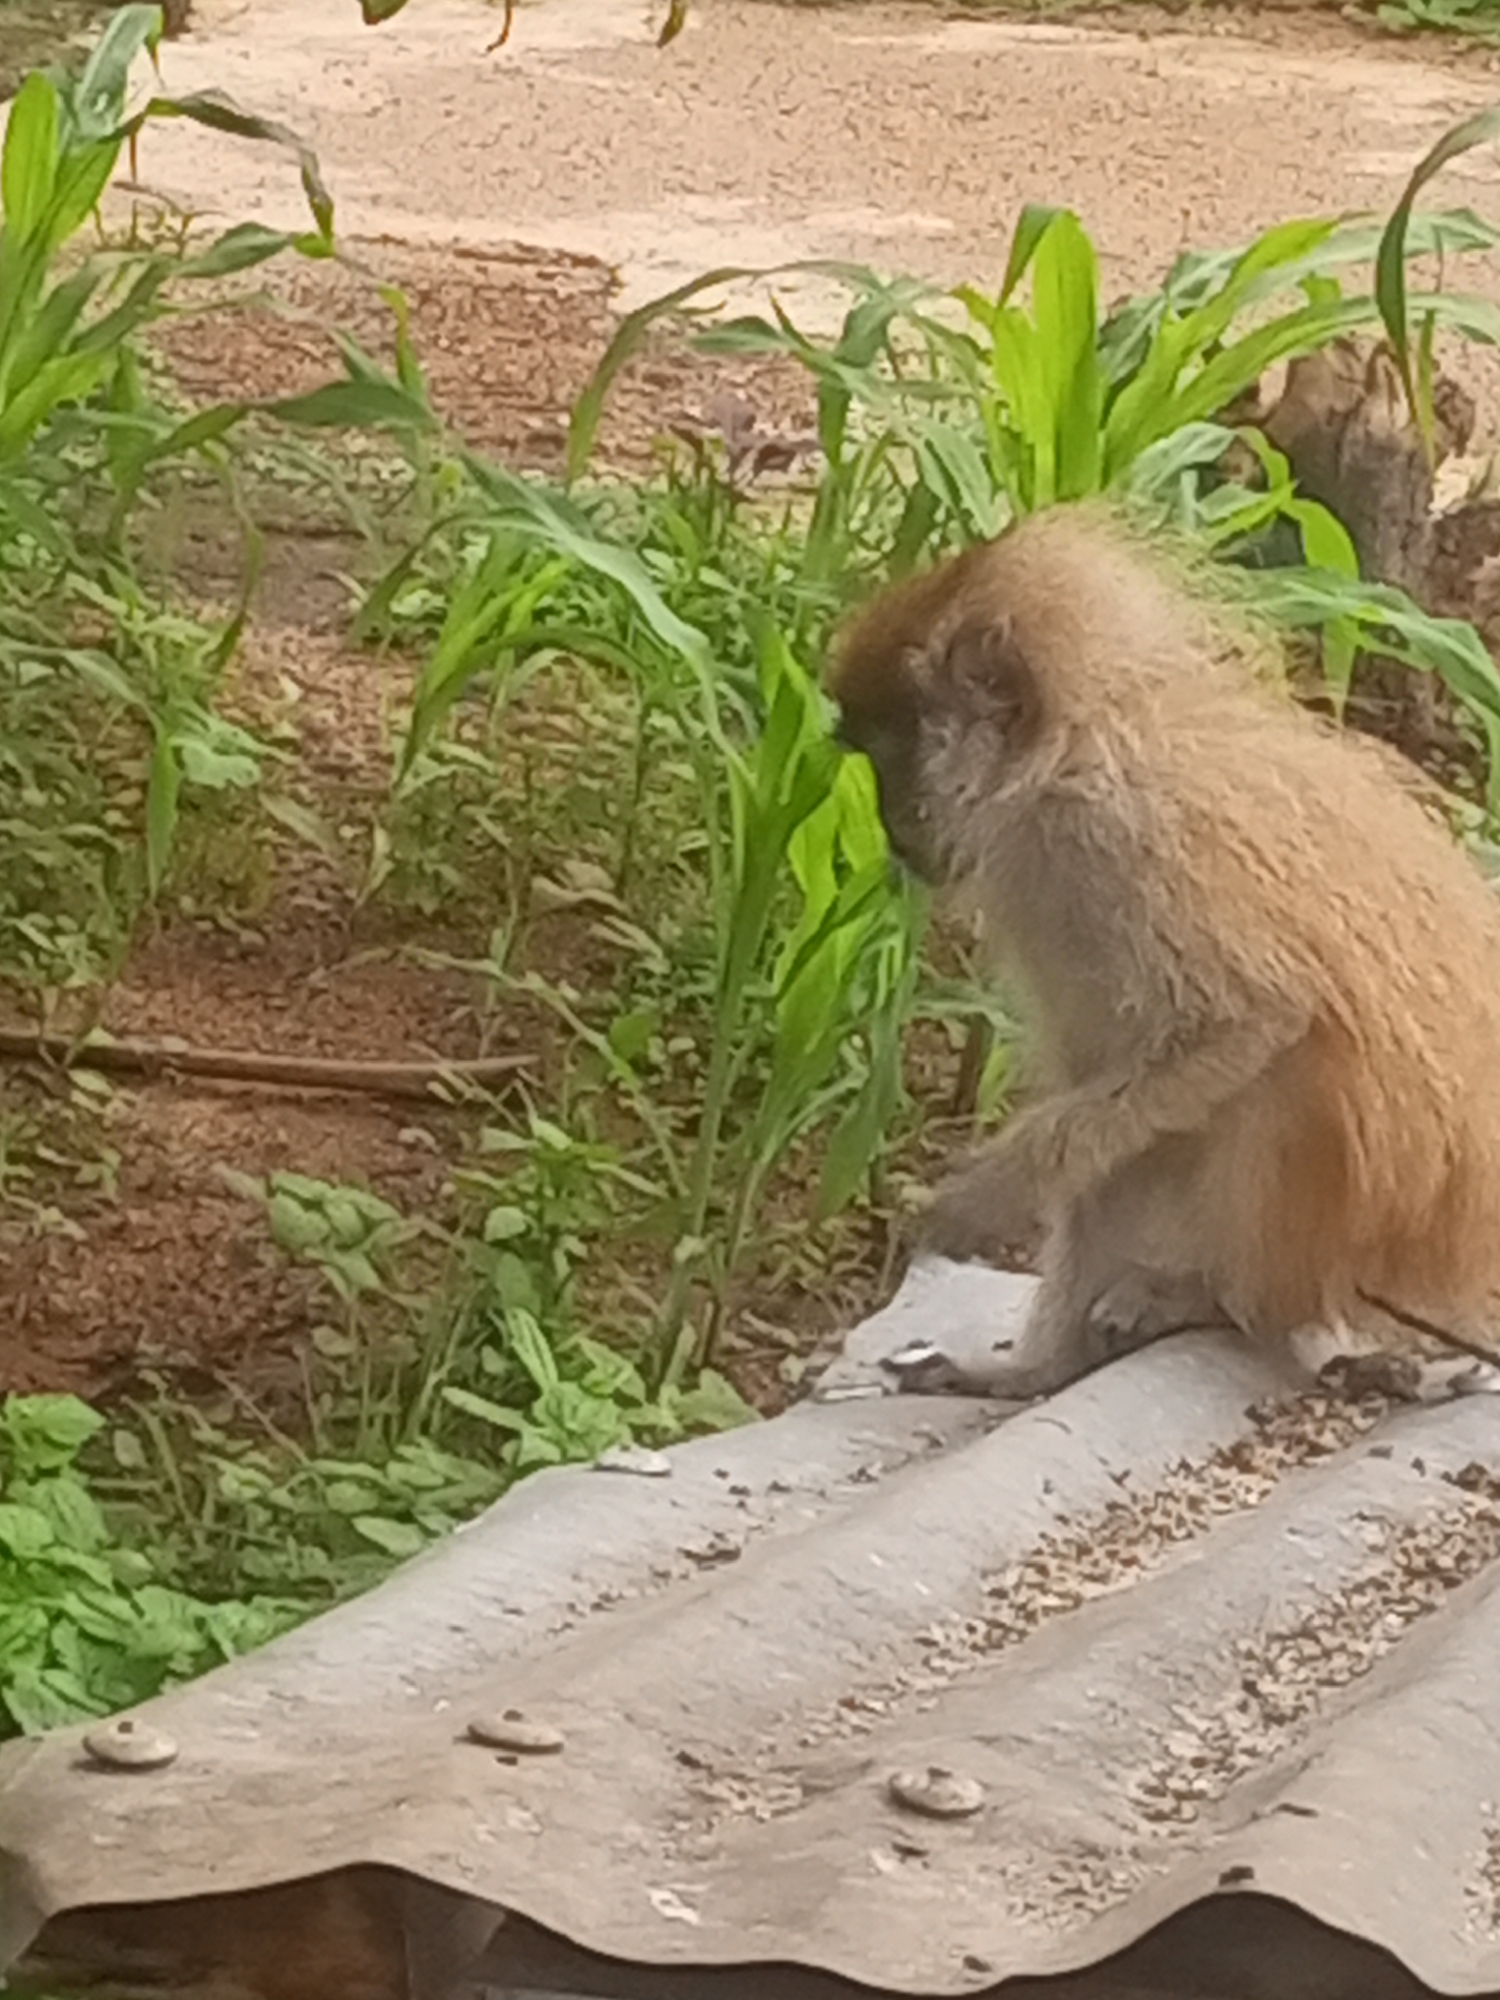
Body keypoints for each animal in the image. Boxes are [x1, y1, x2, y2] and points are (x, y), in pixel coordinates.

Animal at [828, 503, 1500, 1397]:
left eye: (892, 753)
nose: (891, 824)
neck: (1071, 747)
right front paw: (1032, 1367)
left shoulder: (1111, 835)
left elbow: (1254, 1021)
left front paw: (989, 1198)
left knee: (1283, 1079)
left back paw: (1236, 1309)